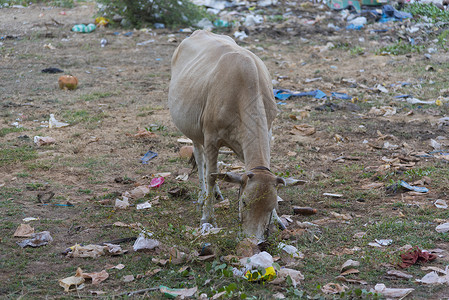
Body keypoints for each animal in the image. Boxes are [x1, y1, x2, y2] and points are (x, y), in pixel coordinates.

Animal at [166, 29, 286, 241]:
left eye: (272, 206)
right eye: (244, 202)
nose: (254, 240)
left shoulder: (268, 131)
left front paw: (278, 221)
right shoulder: (211, 137)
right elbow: (211, 176)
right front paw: (207, 218)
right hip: (194, 130)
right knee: (201, 160)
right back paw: (202, 196)